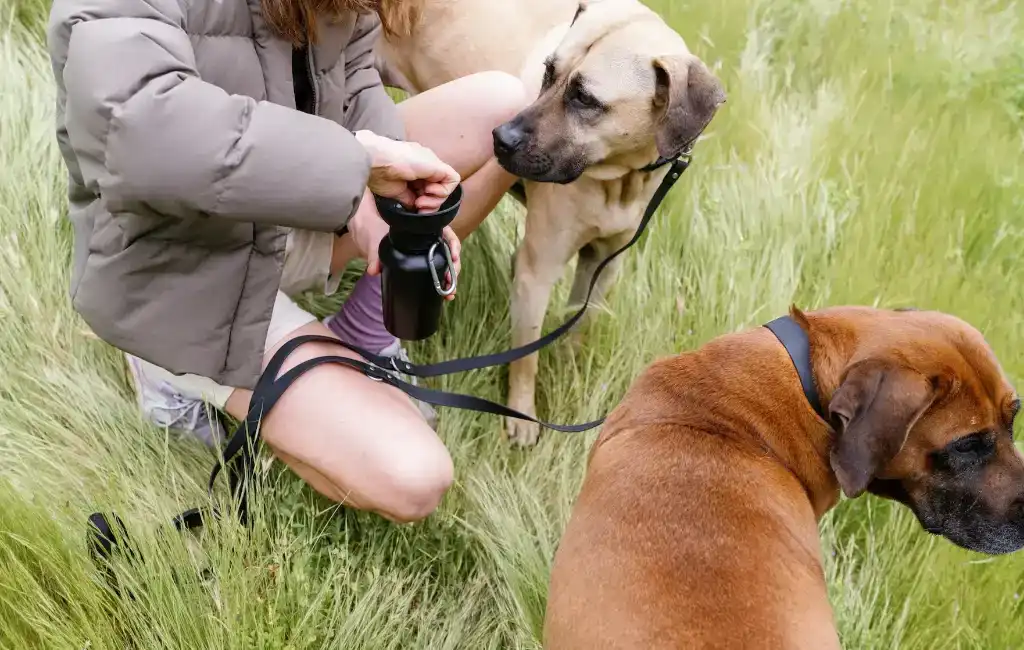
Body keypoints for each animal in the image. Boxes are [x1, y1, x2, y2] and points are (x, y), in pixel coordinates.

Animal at [378, 0, 729, 444]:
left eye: (585, 98)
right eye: (549, 71)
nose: (501, 138)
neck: (620, 177)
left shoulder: (604, 263)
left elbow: (577, 324)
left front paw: (570, 372)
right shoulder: (537, 271)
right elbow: (525, 357)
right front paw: (522, 417)